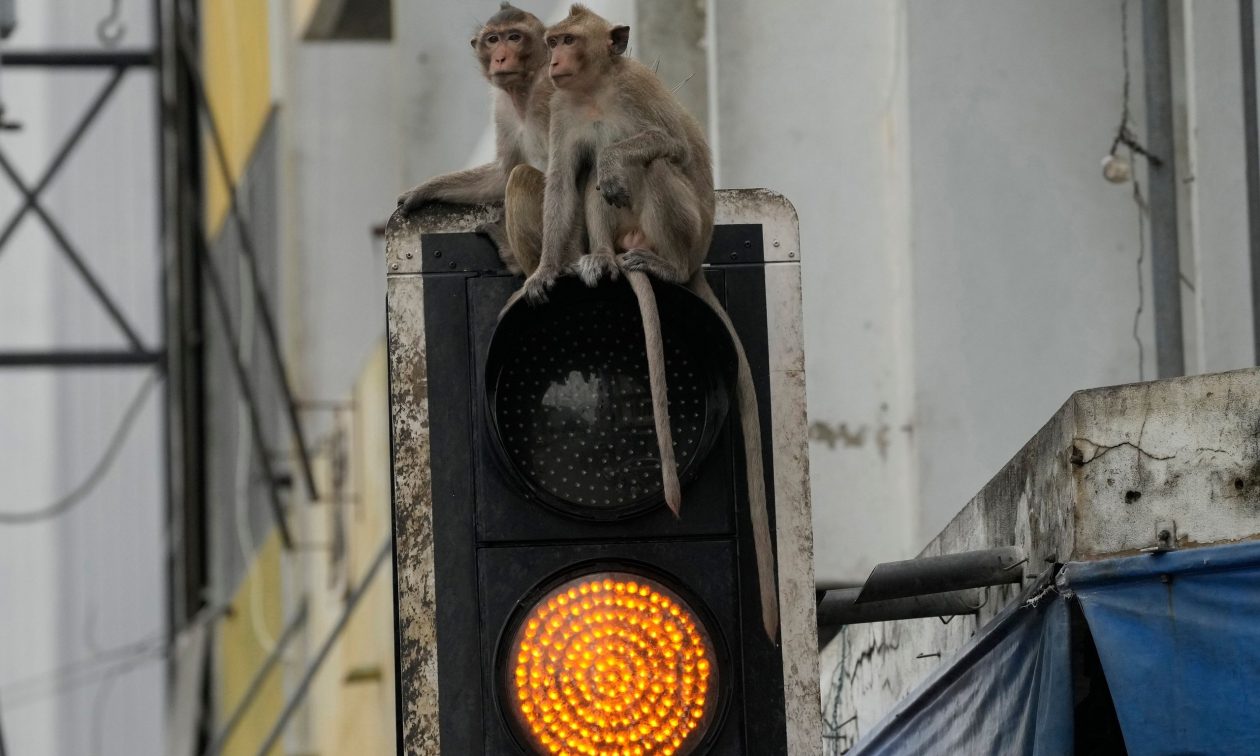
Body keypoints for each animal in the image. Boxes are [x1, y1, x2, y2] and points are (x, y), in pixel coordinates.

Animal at [393, 2, 551, 274]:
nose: (500, 58)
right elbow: (502, 174)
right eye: (493, 39)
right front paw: (425, 190)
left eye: (514, 37)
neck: (525, 90)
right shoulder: (502, 105)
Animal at [514, 4, 776, 642]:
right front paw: (546, 270)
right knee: (588, 181)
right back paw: (603, 260)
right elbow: (563, 184)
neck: (595, 91)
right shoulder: (562, 111)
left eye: (566, 40)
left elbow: (670, 145)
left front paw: (621, 158)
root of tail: (696, 259)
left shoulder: (637, 90)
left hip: (686, 230)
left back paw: (663, 263)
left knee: (651, 167)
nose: (554, 61)